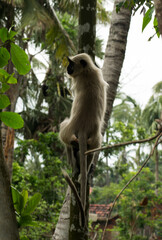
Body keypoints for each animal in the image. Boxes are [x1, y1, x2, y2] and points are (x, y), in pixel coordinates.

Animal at [59, 53, 107, 212]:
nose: (67, 69)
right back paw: (83, 171)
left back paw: (73, 165)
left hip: (67, 128)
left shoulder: (77, 80)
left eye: (71, 64)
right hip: (95, 137)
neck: (87, 71)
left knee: (64, 131)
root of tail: (83, 127)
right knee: (93, 148)